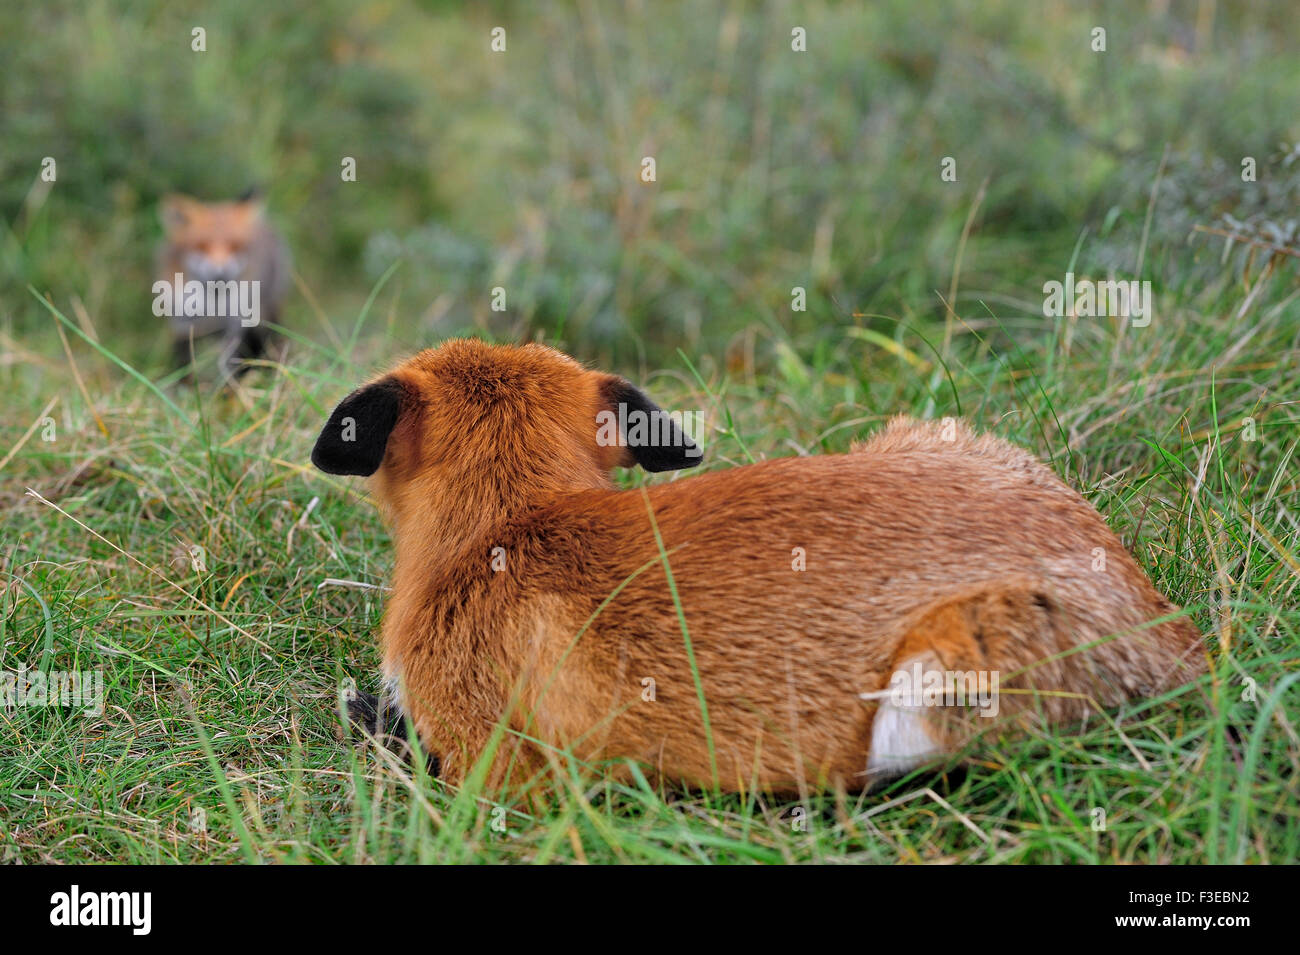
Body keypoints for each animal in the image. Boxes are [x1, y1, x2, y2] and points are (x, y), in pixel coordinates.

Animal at [154, 191, 289, 382]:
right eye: (202, 245)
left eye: (235, 246)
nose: (220, 271)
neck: (213, 305)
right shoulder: (182, 323)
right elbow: (186, 361)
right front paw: (187, 385)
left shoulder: (235, 325)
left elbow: (229, 361)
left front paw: (228, 386)